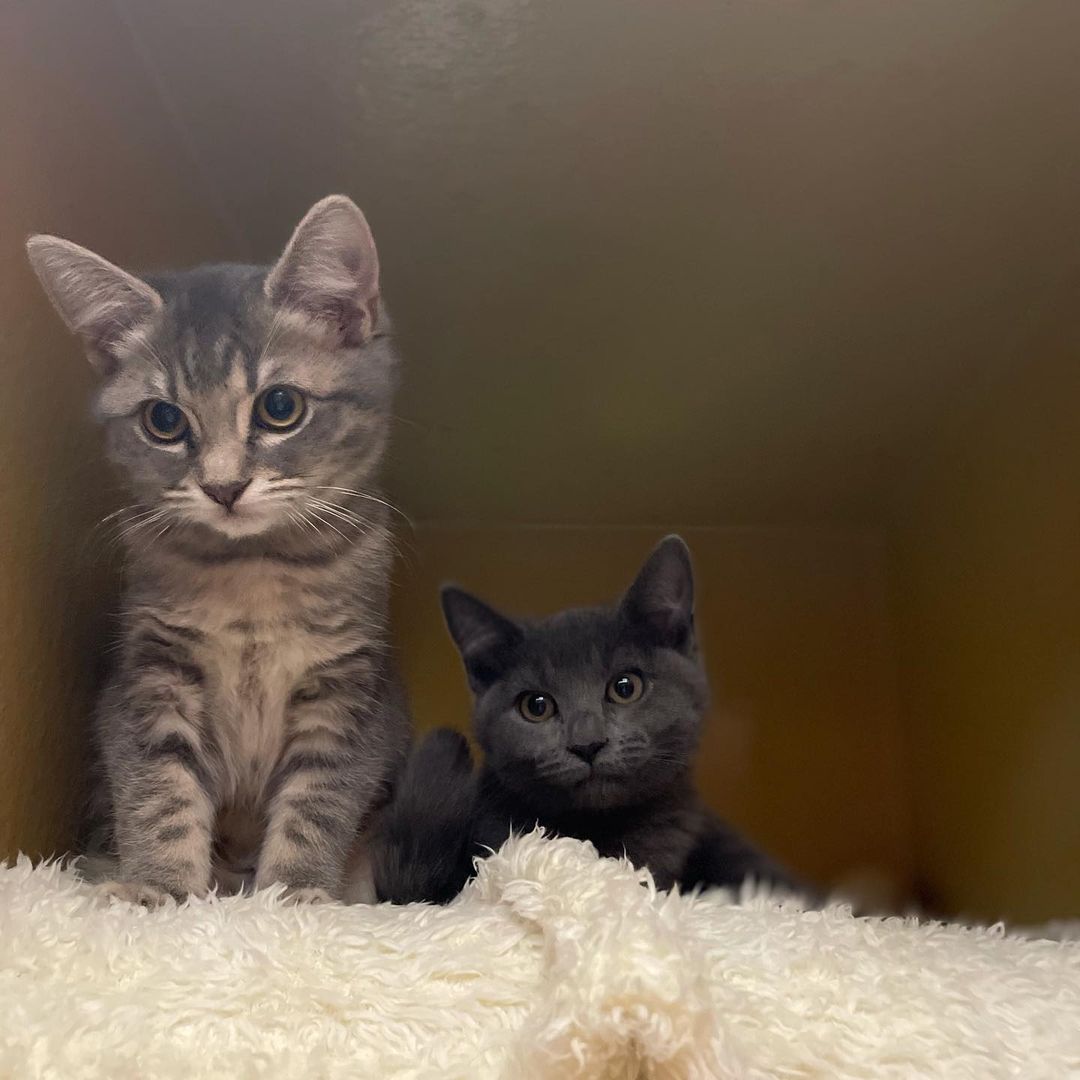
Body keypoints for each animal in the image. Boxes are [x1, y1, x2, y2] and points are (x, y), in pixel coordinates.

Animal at [29, 198, 410, 907]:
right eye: (164, 421)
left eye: (280, 406)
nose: (223, 486)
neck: (250, 569)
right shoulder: (150, 678)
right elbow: (158, 791)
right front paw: (159, 889)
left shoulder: (350, 692)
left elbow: (320, 799)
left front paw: (294, 894)